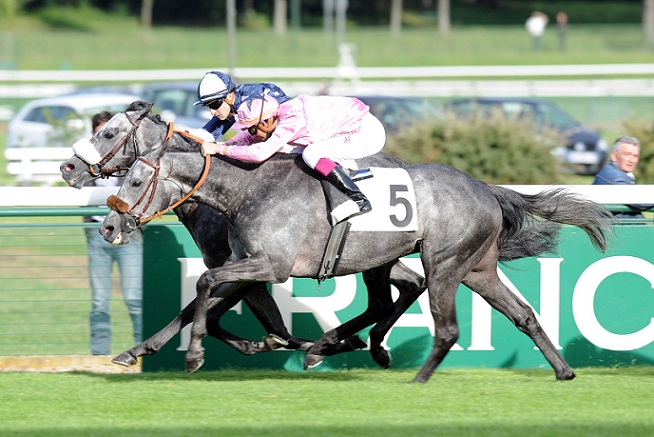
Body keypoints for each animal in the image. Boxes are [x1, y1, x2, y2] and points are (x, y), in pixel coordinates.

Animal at [97, 112, 616, 382]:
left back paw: (402, 371)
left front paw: (192, 354)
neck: (245, 188)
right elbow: (215, 301)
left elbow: (205, 287)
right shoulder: (248, 263)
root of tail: (485, 188)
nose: (107, 226)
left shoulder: (269, 265)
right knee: (520, 313)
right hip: (464, 267)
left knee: (442, 322)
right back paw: (563, 371)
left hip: (444, 262)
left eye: (137, 178)